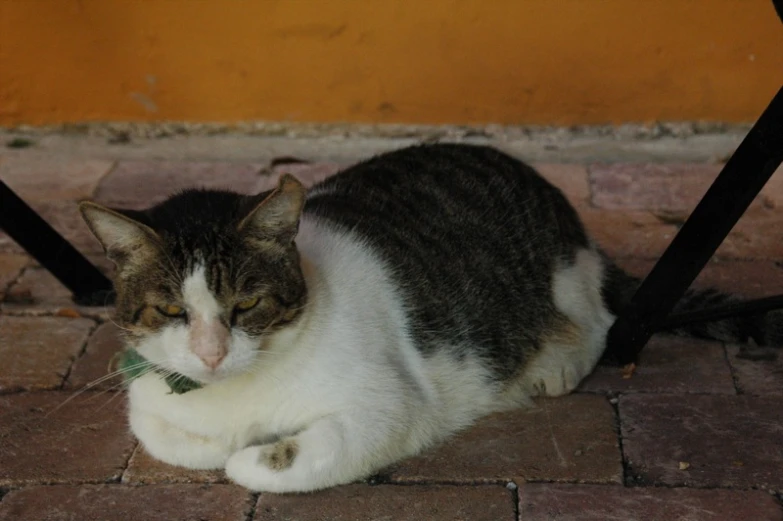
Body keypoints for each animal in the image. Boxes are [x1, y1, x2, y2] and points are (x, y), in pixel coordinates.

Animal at [78, 142, 776, 492]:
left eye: (245, 304)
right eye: (172, 310)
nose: (212, 352)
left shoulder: (389, 407)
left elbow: (269, 461)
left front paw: (253, 454)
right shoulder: (147, 396)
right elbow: (164, 435)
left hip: (563, 276)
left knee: (600, 318)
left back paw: (555, 361)